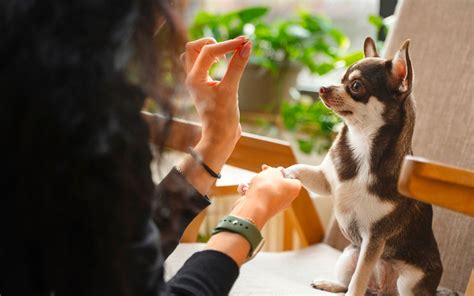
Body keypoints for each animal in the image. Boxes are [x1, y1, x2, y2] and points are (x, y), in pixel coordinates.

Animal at [284, 37, 442, 296]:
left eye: (356, 86)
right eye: (340, 80)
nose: (323, 88)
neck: (362, 143)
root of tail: (382, 290)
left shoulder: (374, 238)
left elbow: (360, 277)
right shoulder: (325, 181)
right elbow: (300, 168)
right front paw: (283, 174)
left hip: (410, 280)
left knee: (368, 283)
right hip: (348, 255)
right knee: (348, 280)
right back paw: (330, 283)